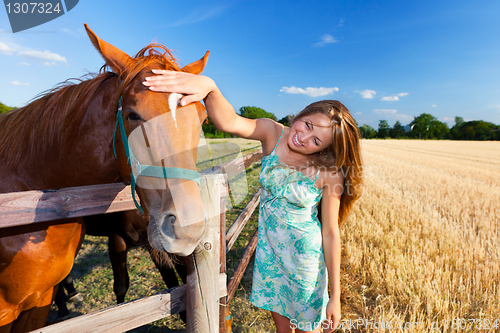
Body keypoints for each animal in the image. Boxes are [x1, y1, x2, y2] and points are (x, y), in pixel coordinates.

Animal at [0, 24, 208, 330]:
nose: (188, 225)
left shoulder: (38, 301)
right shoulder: (118, 239)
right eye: (132, 114)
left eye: (202, 118)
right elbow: (123, 289)